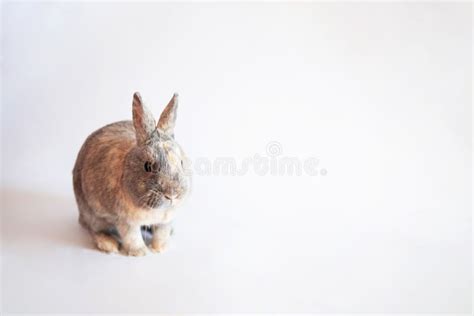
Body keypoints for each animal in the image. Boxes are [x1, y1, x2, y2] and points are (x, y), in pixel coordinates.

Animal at [72, 92, 191, 256]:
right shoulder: (126, 221)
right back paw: (108, 244)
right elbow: (132, 237)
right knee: (93, 230)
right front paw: (141, 253)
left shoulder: (165, 220)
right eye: (148, 166)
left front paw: (159, 249)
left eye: (181, 162)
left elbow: (161, 233)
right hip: (92, 213)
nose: (172, 195)